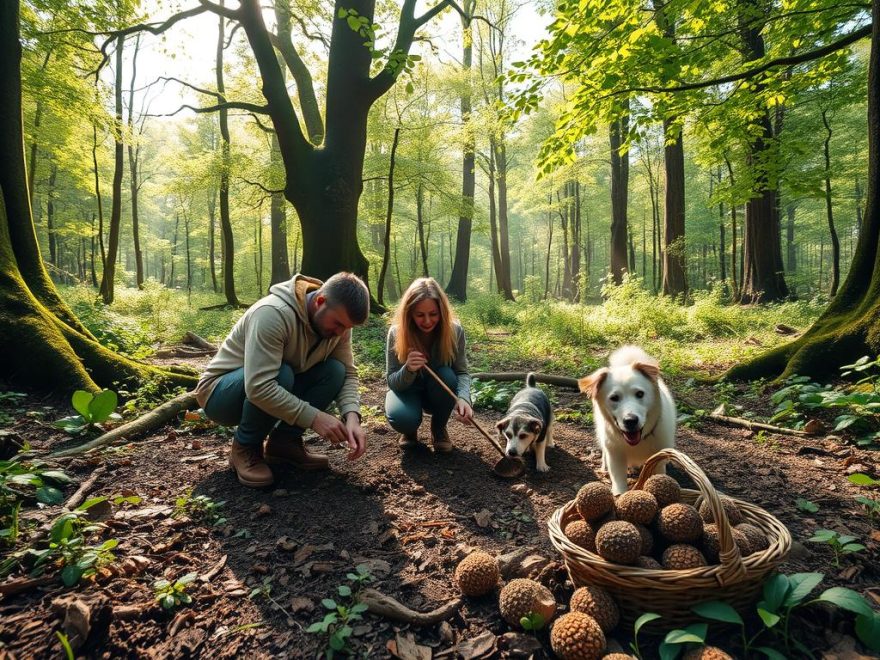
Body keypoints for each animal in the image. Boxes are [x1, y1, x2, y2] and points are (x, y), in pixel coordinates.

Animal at [580, 348, 676, 492]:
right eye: (614, 398)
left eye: (640, 394)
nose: (630, 420)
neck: (639, 441)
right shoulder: (616, 457)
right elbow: (619, 484)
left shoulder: (658, 458)